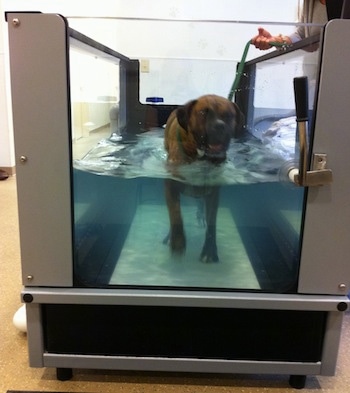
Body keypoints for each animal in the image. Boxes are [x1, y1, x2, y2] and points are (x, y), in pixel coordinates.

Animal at [164, 94, 243, 262]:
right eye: (203, 113)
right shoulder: (171, 186)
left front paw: (209, 250)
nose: (219, 126)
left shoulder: (213, 195)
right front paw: (178, 242)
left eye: (228, 115)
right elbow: (175, 215)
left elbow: (212, 223)